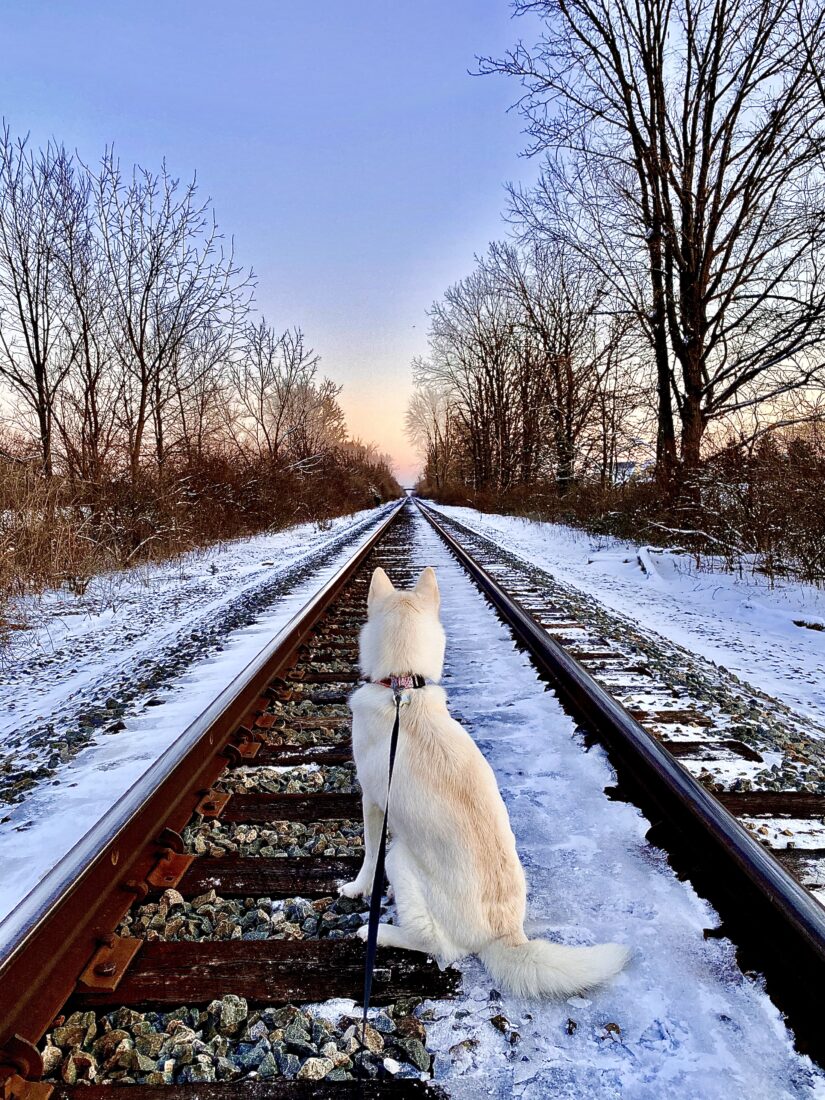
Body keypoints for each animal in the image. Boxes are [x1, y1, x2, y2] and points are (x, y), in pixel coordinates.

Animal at [343, 572, 633, 1003]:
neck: (402, 689)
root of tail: (506, 934)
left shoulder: (374, 803)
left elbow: (369, 854)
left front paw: (359, 889)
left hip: (400, 861)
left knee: (438, 946)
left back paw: (379, 932)